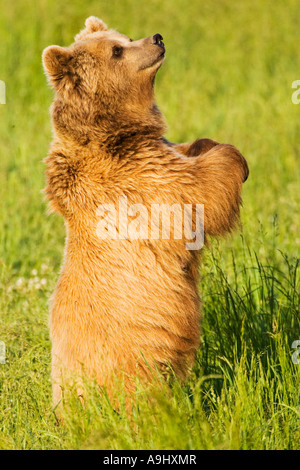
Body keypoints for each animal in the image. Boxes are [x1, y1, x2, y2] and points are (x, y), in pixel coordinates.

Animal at [42, 16, 248, 410]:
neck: (113, 132)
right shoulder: (139, 178)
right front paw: (236, 158)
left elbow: (188, 150)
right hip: (131, 360)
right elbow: (203, 191)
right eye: (117, 51)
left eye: (124, 36)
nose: (156, 38)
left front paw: (209, 143)